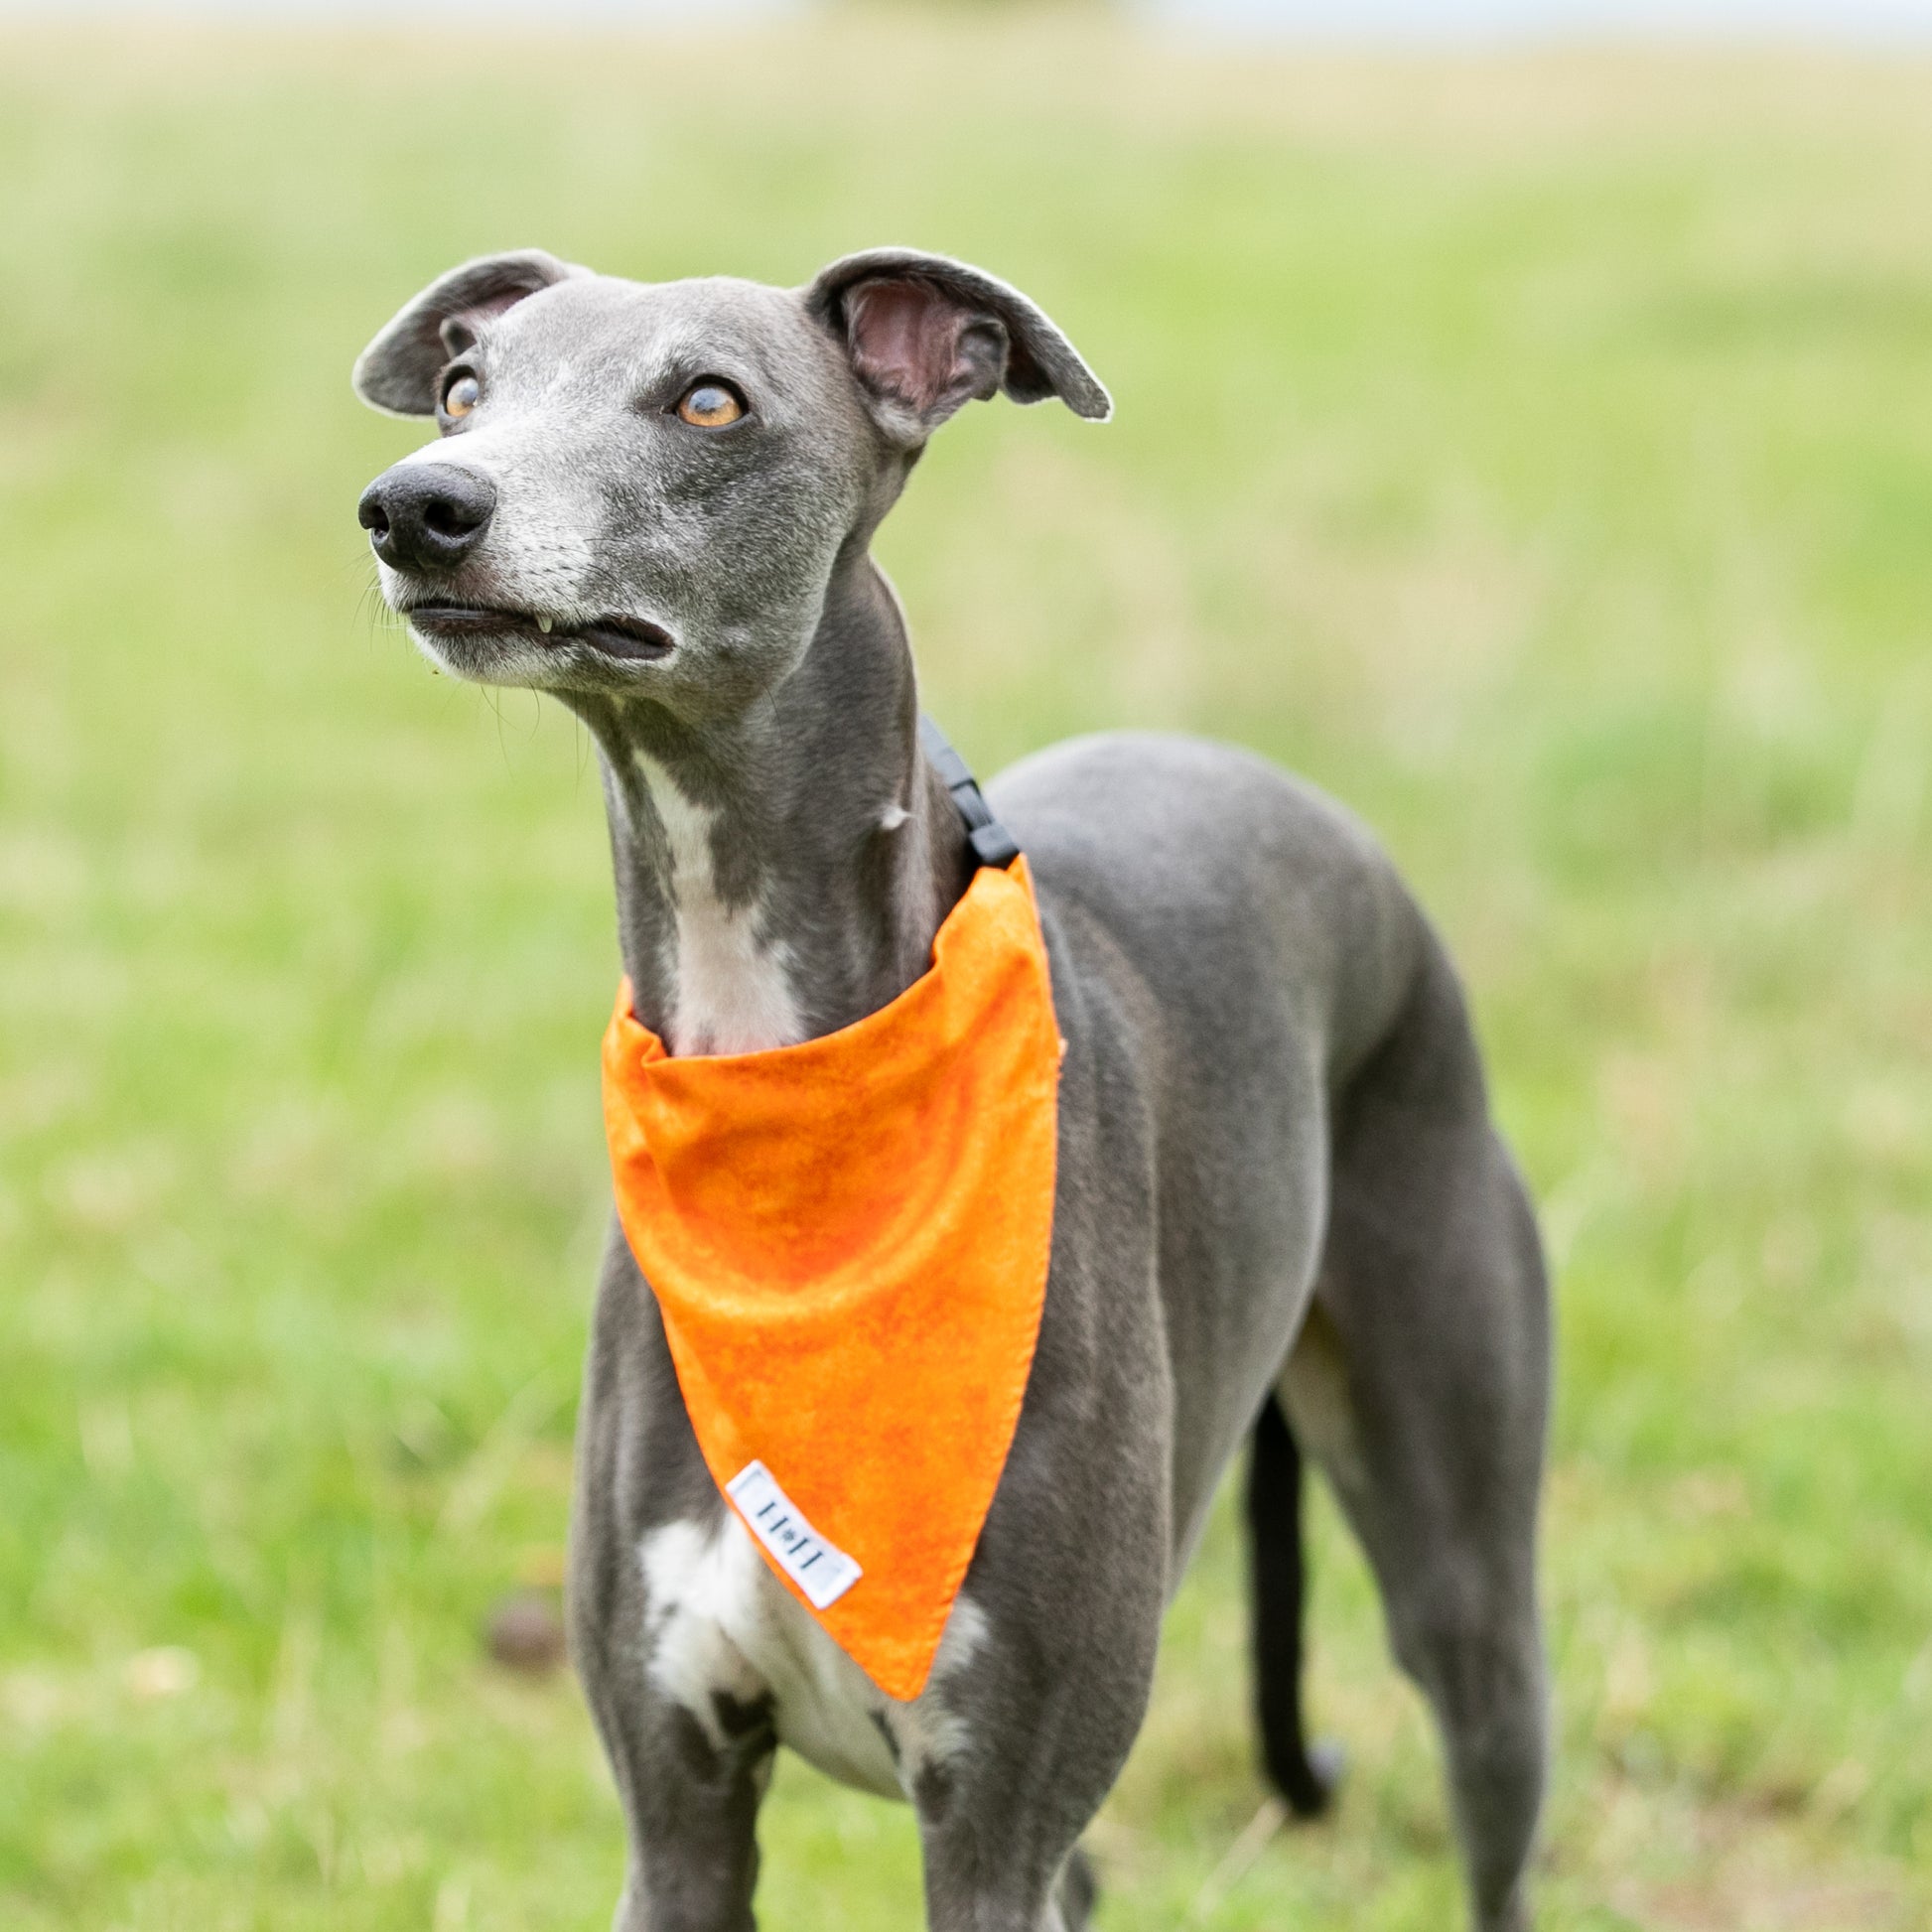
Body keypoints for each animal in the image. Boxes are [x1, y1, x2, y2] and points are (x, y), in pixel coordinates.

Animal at [351, 249, 1553, 1924]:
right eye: (467, 390)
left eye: (707, 399)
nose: (415, 506)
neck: (786, 1122)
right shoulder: (677, 1812)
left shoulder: (994, 1827)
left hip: (1463, 1574)